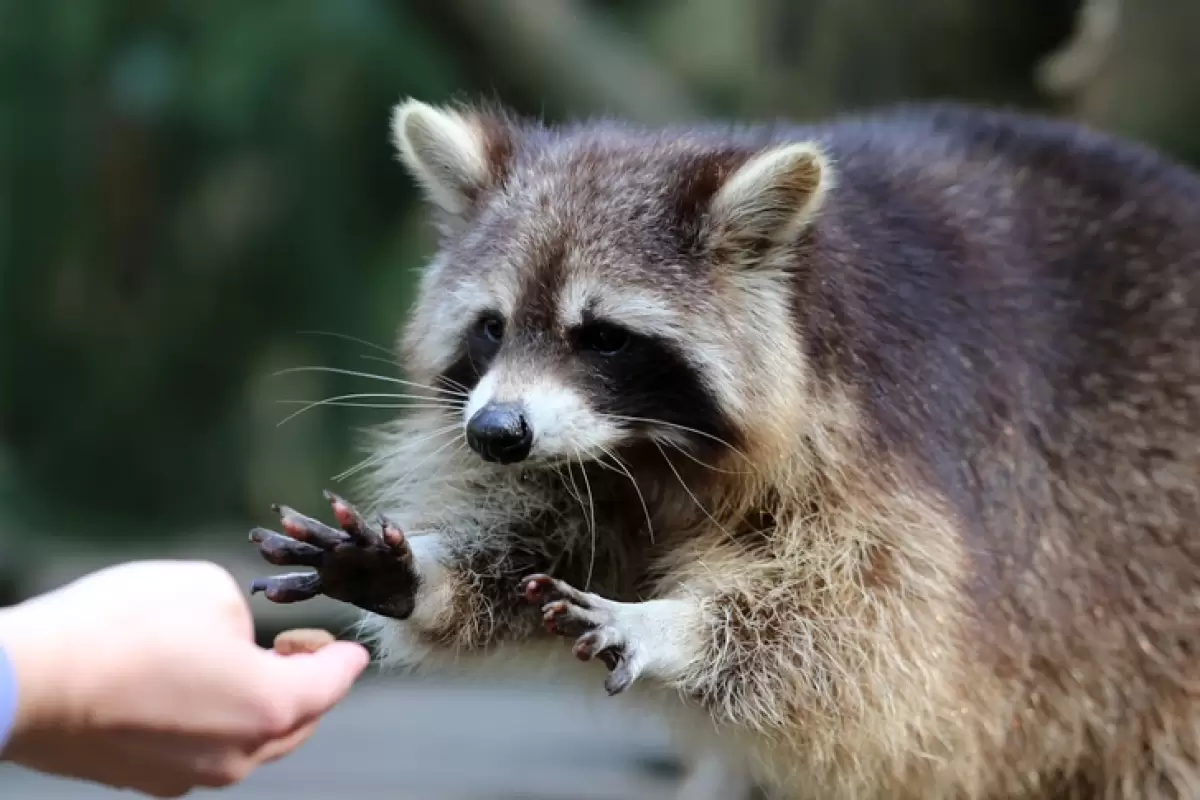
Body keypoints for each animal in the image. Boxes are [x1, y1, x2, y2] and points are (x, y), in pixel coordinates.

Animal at [248, 97, 1200, 796]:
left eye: (605, 338)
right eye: (491, 327)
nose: (495, 432)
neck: (648, 445)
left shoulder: (897, 437)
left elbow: (870, 614)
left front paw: (677, 626)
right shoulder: (589, 464)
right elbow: (549, 536)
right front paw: (423, 571)